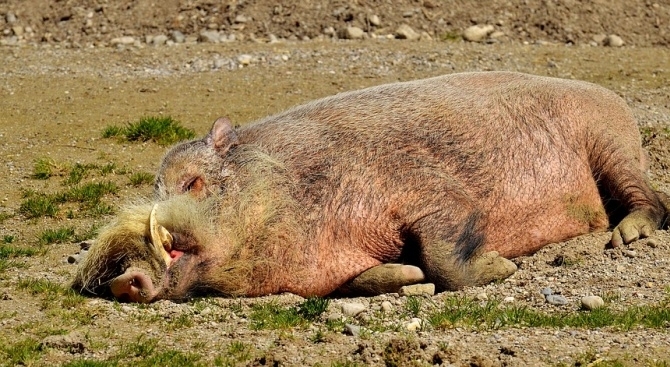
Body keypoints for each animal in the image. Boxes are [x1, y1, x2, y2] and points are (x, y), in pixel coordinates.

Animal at [71, 71, 668, 302]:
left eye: (193, 183)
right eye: (155, 186)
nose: (121, 278)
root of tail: (613, 97)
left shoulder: (431, 190)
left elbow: (448, 255)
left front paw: (506, 268)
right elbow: (377, 277)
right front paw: (407, 277)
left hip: (610, 143)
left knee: (654, 201)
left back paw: (626, 238)